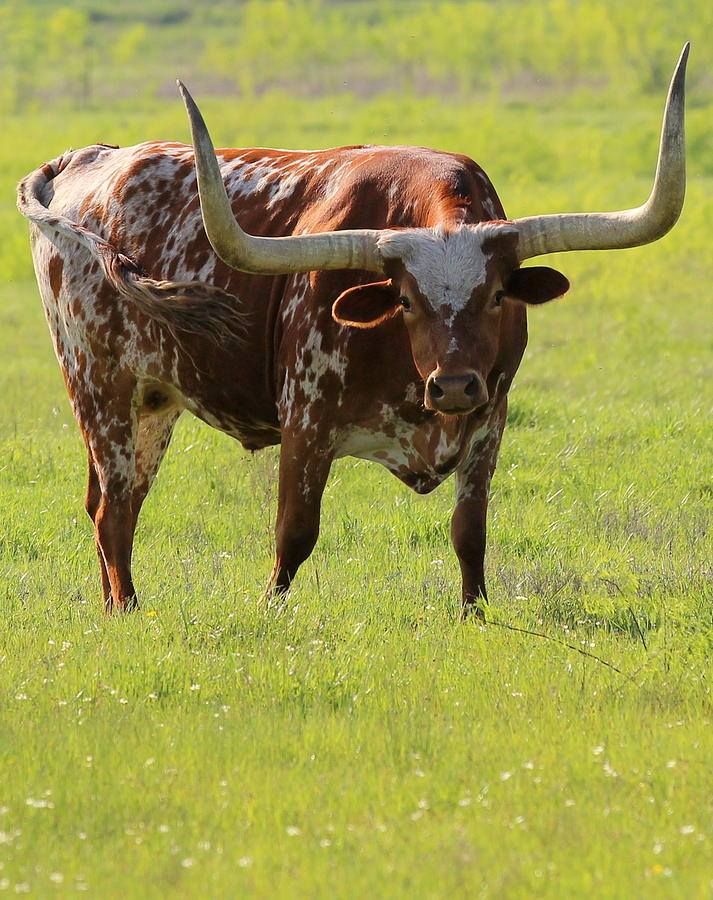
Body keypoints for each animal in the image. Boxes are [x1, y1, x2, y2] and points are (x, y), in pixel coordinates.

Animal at [15, 45, 684, 616]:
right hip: (97, 385)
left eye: (496, 296)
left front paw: (474, 614)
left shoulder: (490, 422)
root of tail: (89, 159)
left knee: (114, 501)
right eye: (406, 301)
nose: (455, 386)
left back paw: (114, 608)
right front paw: (270, 612)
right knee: (114, 507)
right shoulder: (305, 420)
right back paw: (129, 611)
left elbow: (470, 533)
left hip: (154, 401)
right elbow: (294, 532)